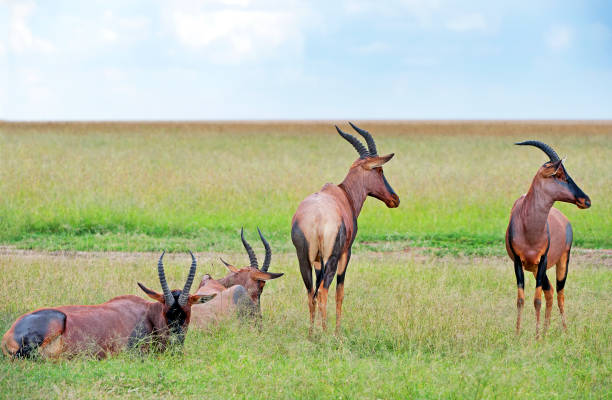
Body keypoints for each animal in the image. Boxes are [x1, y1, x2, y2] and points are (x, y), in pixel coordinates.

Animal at [292, 122, 402, 334]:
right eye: (379, 170)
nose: (395, 199)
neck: (343, 194)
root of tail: (316, 219)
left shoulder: (317, 261)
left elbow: (316, 292)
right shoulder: (346, 253)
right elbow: (340, 292)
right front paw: (337, 333)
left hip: (304, 259)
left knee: (311, 293)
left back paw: (311, 335)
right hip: (332, 258)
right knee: (324, 291)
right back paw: (326, 334)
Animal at [504, 141, 592, 338]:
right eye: (558, 174)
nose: (586, 200)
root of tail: (565, 220)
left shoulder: (543, 260)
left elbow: (537, 300)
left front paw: (536, 337)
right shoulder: (518, 262)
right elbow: (521, 299)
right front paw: (518, 334)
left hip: (562, 261)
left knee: (560, 293)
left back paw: (564, 331)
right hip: (536, 269)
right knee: (550, 291)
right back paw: (545, 332)